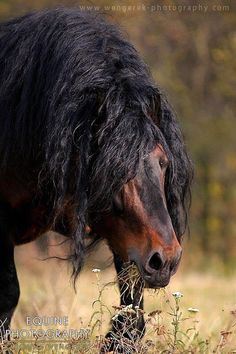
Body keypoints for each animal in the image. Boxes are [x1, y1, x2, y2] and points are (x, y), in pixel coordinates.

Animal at [0, 7, 192, 352]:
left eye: (162, 162)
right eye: (113, 168)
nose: (166, 259)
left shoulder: (126, 236)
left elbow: (131, 309)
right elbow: (9, 294)